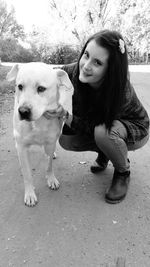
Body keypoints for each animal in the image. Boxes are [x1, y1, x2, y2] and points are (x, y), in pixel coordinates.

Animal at [6, 62, 73, 207]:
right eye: (20, 86)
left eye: (41, 88)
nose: (23, 111)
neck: (39, 120)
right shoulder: (22, 147)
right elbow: (27, 174)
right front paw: (30, 194)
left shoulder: (50, 142)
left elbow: (49, 164)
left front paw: (51, 179)